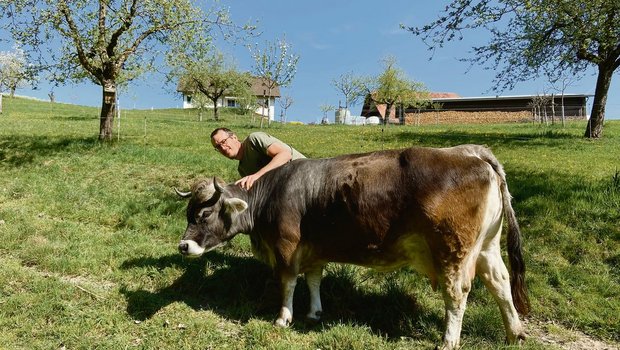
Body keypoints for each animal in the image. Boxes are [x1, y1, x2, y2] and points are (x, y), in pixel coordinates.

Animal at [177, 144, 532, 348]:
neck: (275, 191)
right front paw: (314, 312)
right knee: (501, 283)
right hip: (487, 246)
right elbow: (314, 280)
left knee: (457, 294)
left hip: (452, 251)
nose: (183, 246)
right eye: (187, 213)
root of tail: (470, 151)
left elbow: (288, 283)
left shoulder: (286, 247)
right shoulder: (314, 248)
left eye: (205, 214)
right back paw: (514, 332)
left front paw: (283, 318)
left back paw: (448, 341)